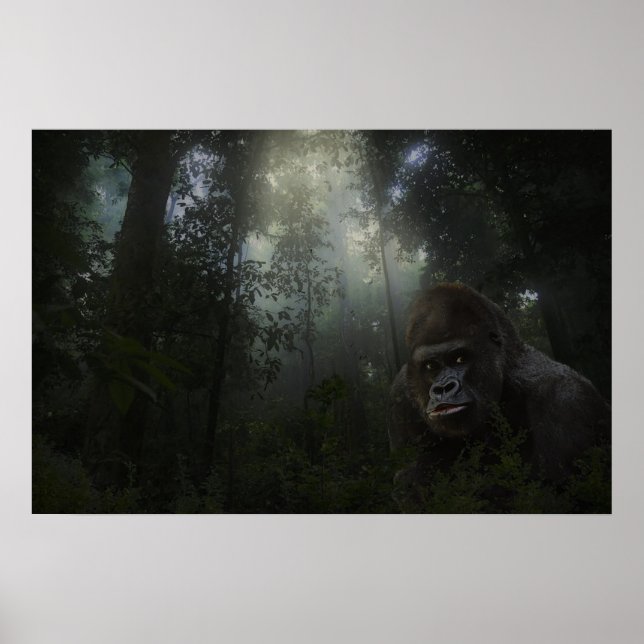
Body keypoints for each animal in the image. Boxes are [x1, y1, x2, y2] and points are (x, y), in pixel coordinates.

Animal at [388, 283, 610, 506]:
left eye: (460, 358)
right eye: (430, 366)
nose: (443, 388)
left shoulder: (566, 398)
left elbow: (566, 497)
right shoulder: (400, 393)